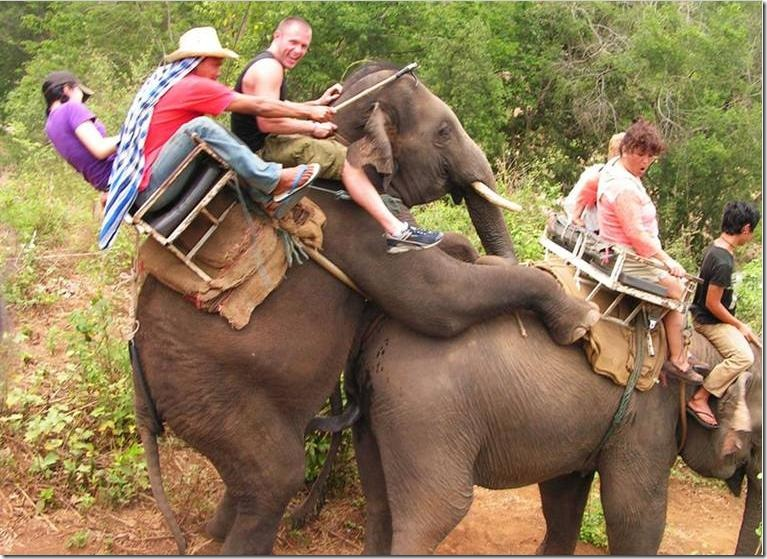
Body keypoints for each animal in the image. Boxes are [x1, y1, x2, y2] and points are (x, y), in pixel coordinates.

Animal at [132, 62, 600, 554]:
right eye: (443, 132)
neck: (343, 123)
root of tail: (144, 396)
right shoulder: (356, 222)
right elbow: (437, 299)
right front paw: (581, 322)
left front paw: (464, 250)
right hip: (212, 391)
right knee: (274, 479)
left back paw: (215, 532)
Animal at [348, 252, 762, 555]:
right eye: (755, 443)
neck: (700, 346)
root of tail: (377, 328)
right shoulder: (647, 423)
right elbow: (635, 515)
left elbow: (563, 499)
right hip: (429, 418)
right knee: (436, 512)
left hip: (381, 413)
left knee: (380, 504)